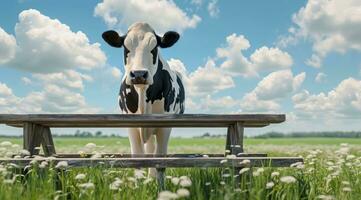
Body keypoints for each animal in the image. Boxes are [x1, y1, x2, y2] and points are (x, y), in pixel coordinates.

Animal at [102, 22, 184, 177]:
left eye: (154, 48)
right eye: (126, 48)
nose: (139, 74)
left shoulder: (166, 125)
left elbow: (160, 158)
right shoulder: (131, 125)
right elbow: (138, 156)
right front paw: (139, 181)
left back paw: (151, 176)